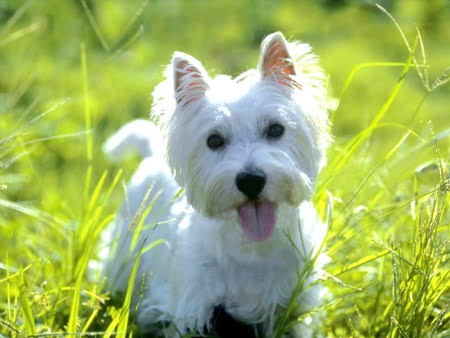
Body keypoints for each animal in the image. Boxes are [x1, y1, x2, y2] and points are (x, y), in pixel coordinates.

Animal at [103, 32, 332, 338]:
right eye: (214, 140)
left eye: (275, 129)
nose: (250, 181)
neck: (252, 248)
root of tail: (152, 153)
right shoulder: (193, 307)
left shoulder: (296, 304)